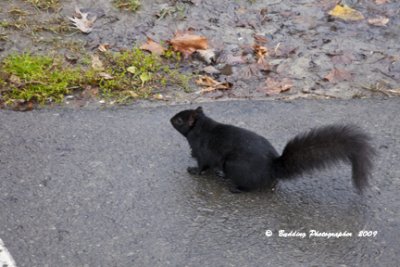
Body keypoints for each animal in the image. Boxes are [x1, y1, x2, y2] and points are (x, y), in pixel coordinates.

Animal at [170, 108, 376, 194]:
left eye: (179, 120)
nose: (170, 119)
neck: (201, 128)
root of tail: (272, 168)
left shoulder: (203, 151)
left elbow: (202, 165)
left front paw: (193, 170)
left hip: (234, 165)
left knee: (248, 186)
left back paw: (235, 188)